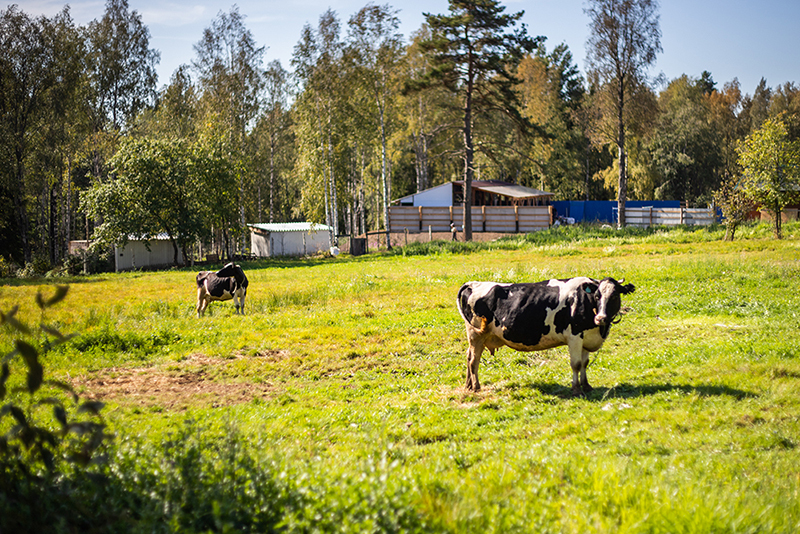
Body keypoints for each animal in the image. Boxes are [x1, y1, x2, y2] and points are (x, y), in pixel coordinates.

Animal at [460, 278, 636, 396]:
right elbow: (576, 364)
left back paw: (468, 385)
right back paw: (476, 387)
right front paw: (576, 389)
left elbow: (585, 364)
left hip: (477, 337)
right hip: (476, 334)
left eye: (614, 296)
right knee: (474, 360)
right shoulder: (574, 337)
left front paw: (586, 386)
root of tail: (472, 283)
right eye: (597, 296)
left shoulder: (586, 338)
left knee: (469, 356)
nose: (601, 318)